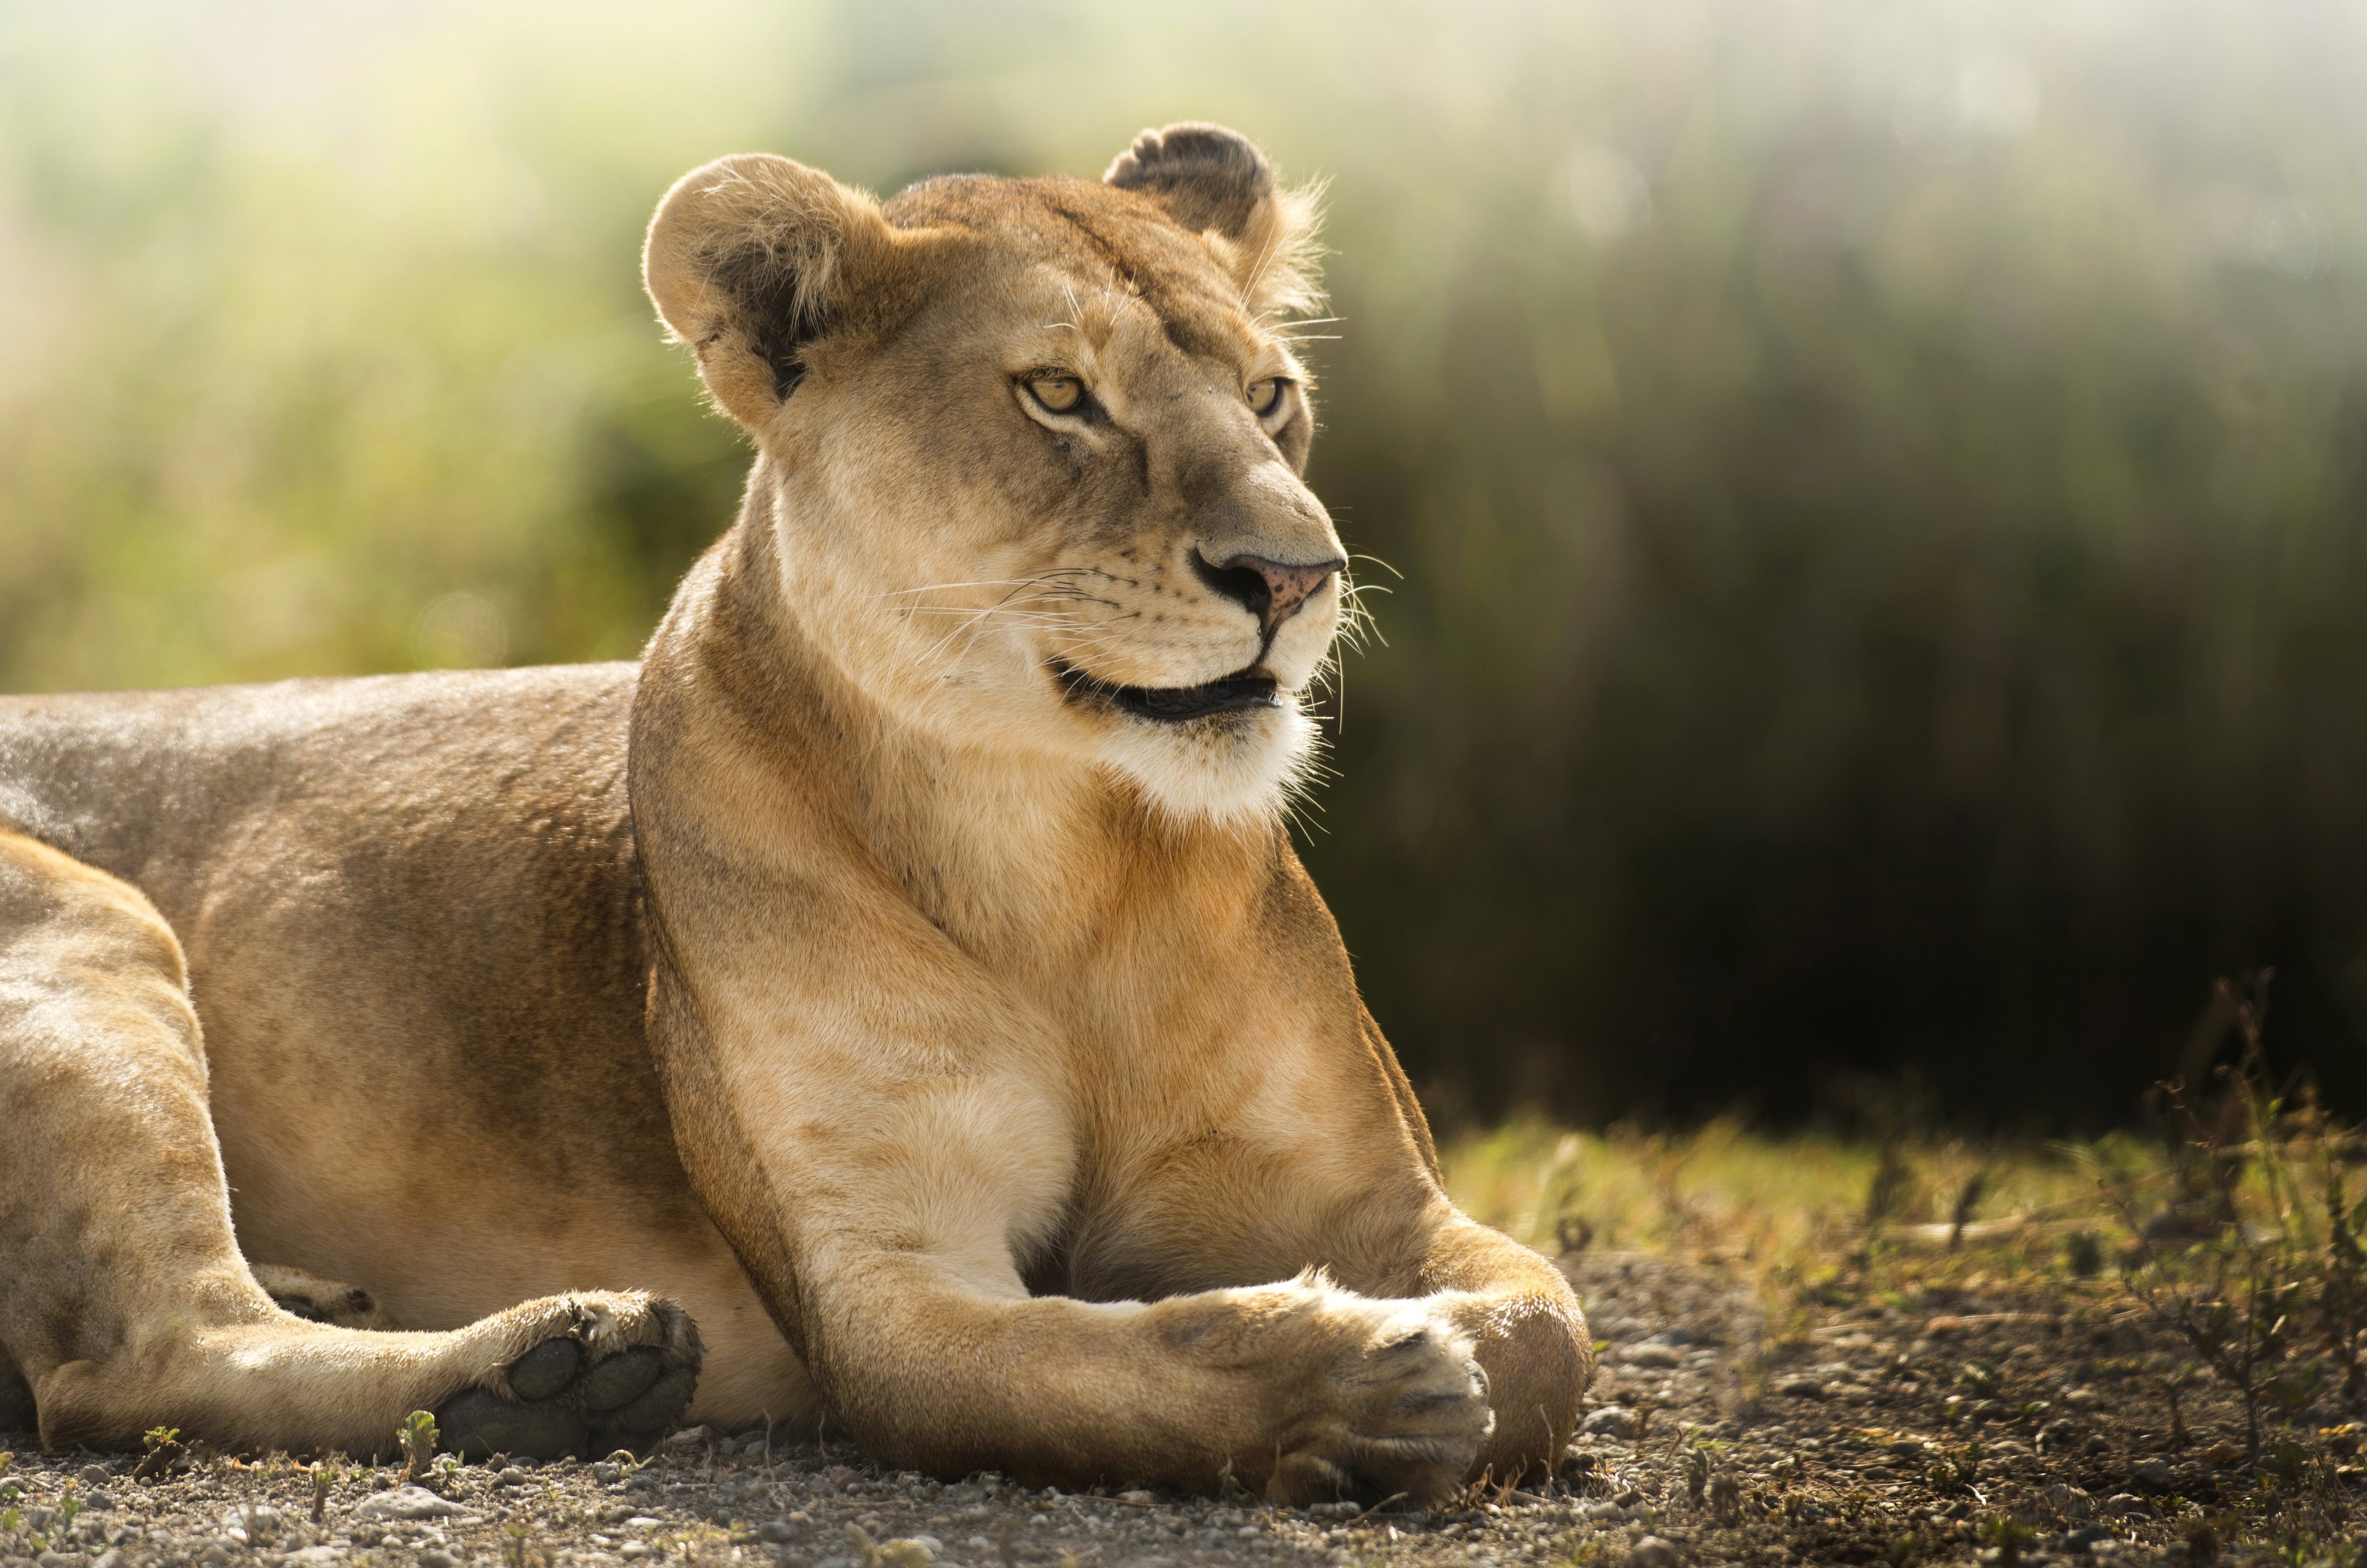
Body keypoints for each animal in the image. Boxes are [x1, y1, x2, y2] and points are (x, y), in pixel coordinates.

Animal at [0, 124, 1591, 1501]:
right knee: (143, 1358)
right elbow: (1111, 1364)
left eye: (1269, 396)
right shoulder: (880, 1287)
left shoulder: (1378, 1200)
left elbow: (1550, 1331)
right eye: (1058, 394)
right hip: (93, 925)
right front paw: (1362, 1384)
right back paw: (549, 1369)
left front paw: (1433, 1360)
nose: (1299, 574)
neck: (1055, 858)